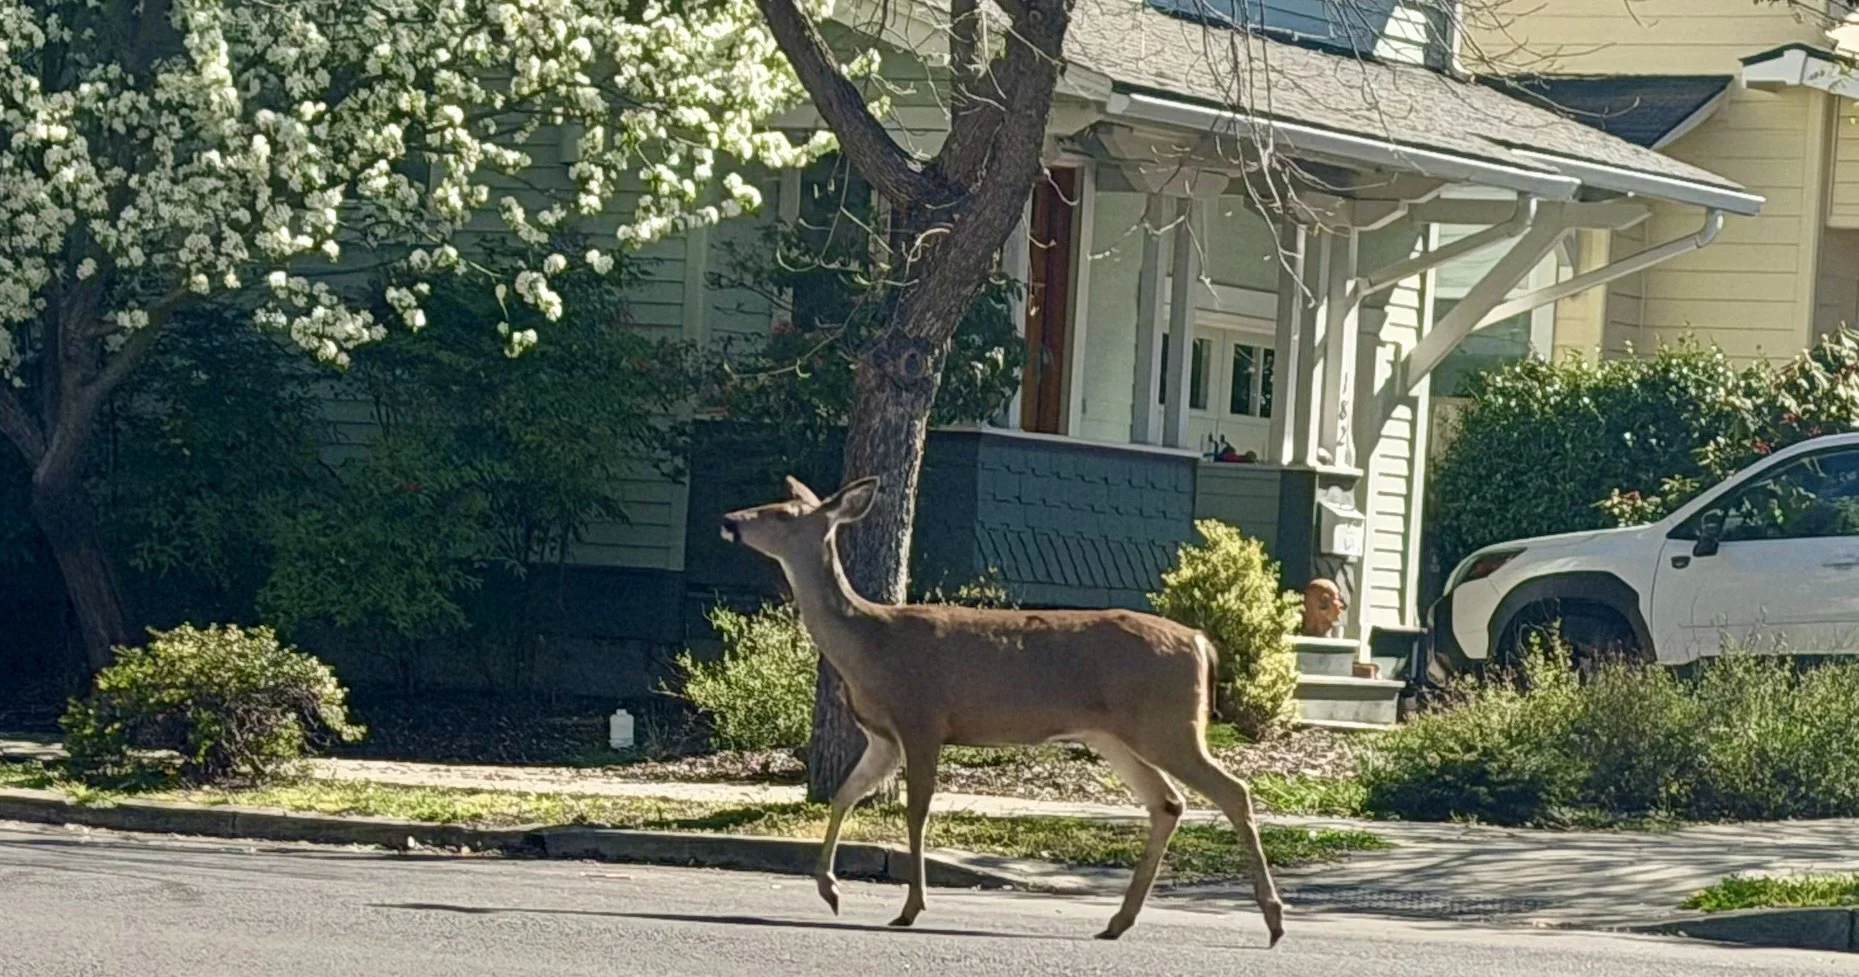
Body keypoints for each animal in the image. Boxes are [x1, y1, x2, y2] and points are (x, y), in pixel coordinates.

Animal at [720, 474, 1286, 944]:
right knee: (1167, 802)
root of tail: (1200, 642)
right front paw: (830, 890)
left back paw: (1274, 920)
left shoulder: (921, 717)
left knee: (1232, 791)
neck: (869, 643)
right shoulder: (882, 736)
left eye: (782, 514)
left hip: (1168, 725)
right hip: (1115, 736)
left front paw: (910, 908)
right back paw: (1117, 922)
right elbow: (844, 796)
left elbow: (916, 809)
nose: (729, 521)